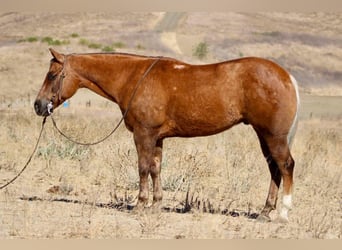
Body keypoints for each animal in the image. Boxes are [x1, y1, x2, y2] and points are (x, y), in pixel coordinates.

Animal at [35, 47, 300, 222]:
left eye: (52, 75)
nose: (38, 105)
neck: (133, 77)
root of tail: (287, 76)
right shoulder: (157, 138)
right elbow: (155, 169)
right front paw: (156, 205)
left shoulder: (143, 134)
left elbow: (142, 168)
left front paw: (140, 205)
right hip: (263, 135)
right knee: (274, 168)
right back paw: (265, 212)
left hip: (273, 136)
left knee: (286, 165)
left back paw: (283, 212)